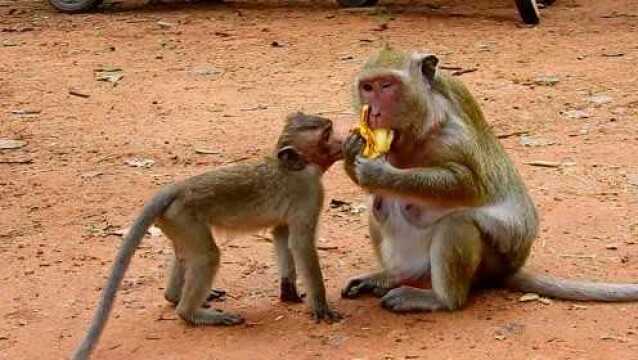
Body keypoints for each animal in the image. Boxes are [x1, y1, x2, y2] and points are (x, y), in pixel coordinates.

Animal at [73, 113, 344, 360]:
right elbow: (301, 244)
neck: (298, 167)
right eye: (327, 134)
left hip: (175, 220)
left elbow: (281, 234)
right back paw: (190, 313)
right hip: (184, 217)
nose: (342, 141)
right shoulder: (310, 193)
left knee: (186, 255)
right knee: (207, 256)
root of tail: (178, 188)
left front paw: (289, 292)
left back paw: (174, 297)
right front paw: (321, 307)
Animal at [344, 46, 638, 314]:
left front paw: (380, 173)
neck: (416, 130)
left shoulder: (453, 136)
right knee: (377, 207)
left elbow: (467, 184)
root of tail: (507, 271)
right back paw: (394, 275)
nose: (373, 113)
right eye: (367, 87)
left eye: (387, 85)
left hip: (491, 262)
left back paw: (439, 299)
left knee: (458, 223)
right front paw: (350, 151)